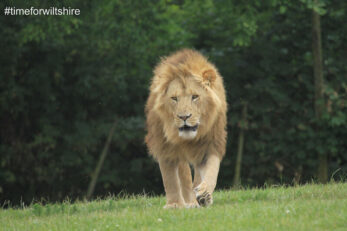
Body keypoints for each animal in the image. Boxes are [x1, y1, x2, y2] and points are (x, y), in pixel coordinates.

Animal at [145, 49, 228, 208]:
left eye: (195, 96)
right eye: (174, 98)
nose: (184, 117)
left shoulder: (210, 144)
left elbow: (212, 170)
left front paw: (204, 194)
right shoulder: (165, 146)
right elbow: (170, 178)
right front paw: (174, 204)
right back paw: (189, 202)